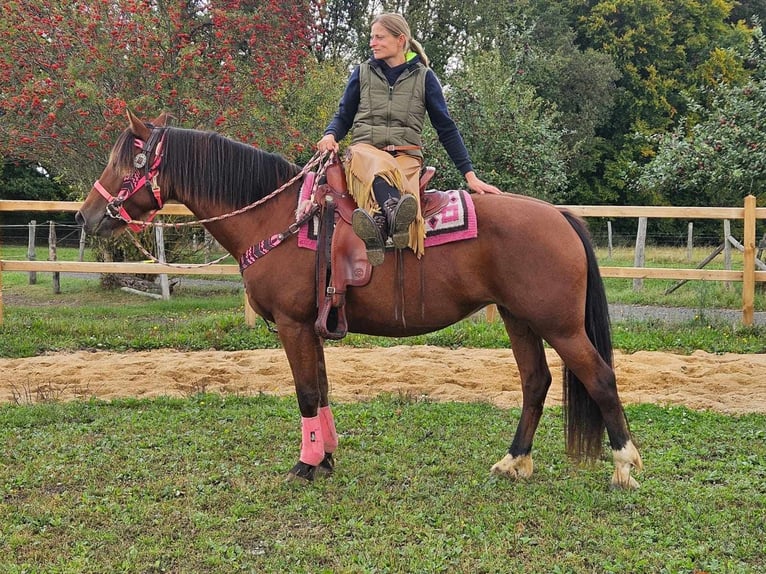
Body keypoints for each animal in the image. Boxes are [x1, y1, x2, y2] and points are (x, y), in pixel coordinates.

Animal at [76, 111, 640, 490]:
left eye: (130, 161)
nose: (87, 215)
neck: (277, 217)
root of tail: (559, 215)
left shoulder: (293, 325)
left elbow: (306, 393)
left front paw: (305, 465)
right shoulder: (313, 325)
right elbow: (322, 391)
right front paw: (325, 457)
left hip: (560, 325)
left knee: (600, 378)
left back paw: (624, 465)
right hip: (519, 318)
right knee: (536, 382)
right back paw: (515, 461)